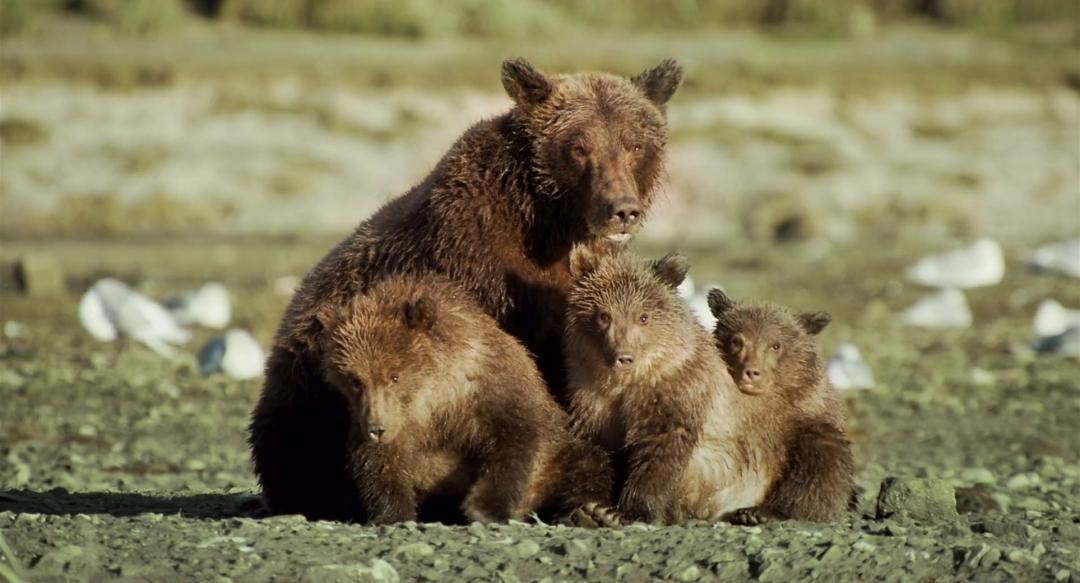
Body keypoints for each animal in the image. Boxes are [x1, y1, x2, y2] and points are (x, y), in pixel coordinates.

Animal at [250, 56, 682, 518]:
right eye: (578, 146)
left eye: (634, 144)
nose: (622, 209)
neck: (551, 227)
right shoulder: (479, 267)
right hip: (302, 387)